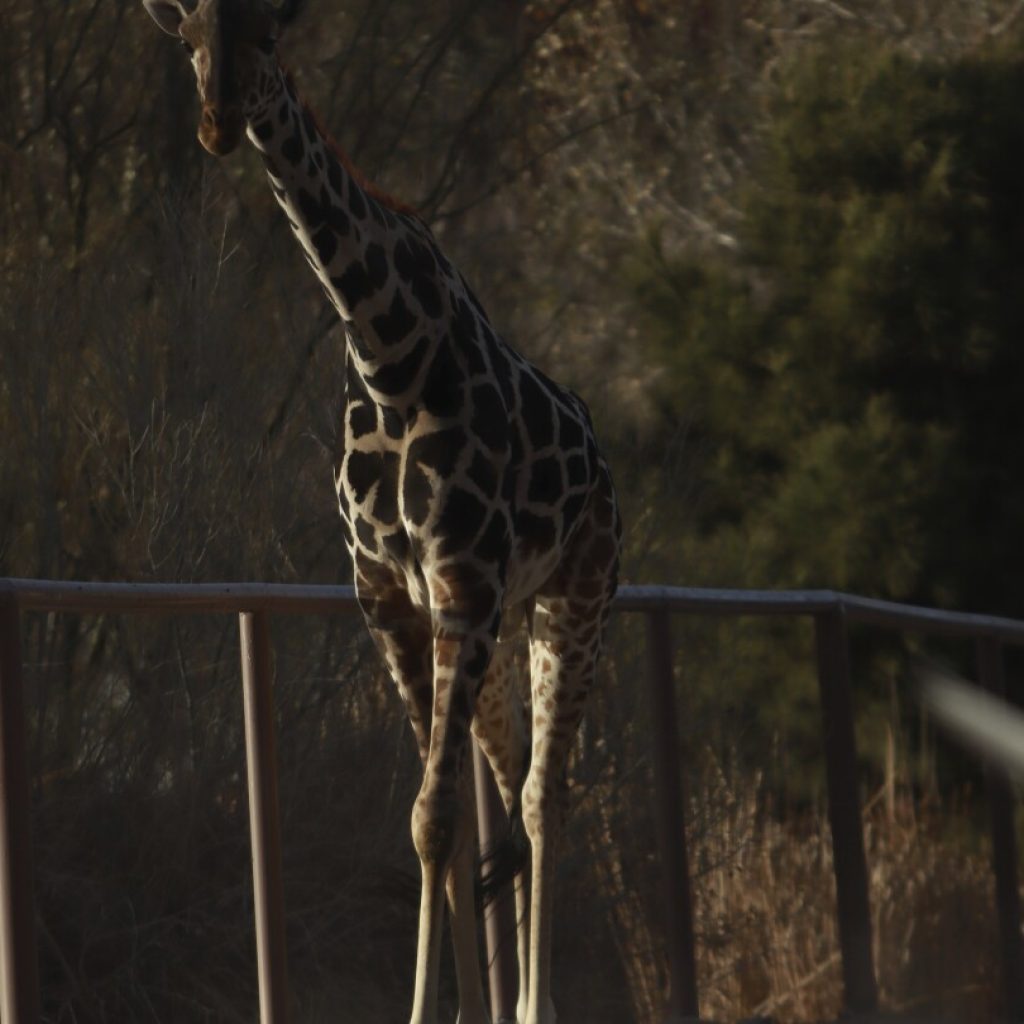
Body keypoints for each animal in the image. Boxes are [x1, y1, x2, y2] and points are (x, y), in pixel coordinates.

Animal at [141, 4, 622, 1019]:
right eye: (189, 37)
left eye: (268, 38)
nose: (216, 122)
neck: (388, 355)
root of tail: (602, 461)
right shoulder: (391, 597)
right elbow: (434, 823)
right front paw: (449, 1008)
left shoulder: (464, 590)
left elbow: (436, 816)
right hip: (502, 627)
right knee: (508, 784)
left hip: (576, 599)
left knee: (543, 797)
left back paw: (538, 1005)